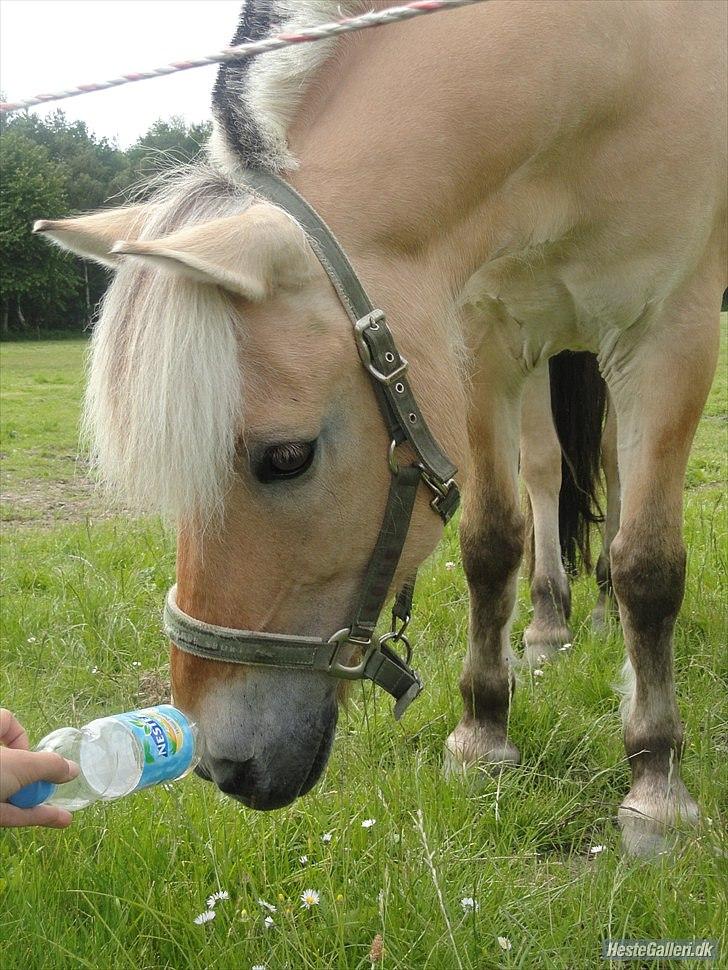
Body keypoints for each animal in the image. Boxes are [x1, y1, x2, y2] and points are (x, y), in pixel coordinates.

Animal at [35, 0, 728, 852]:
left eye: (287, 457)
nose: (221, 764)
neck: (602, 62)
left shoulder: (672, 331)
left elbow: (651, 566)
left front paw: (657, 785)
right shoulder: (483, 337)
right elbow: (491, 542)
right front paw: (482, 735)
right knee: (546, 473)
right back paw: (550, 626)